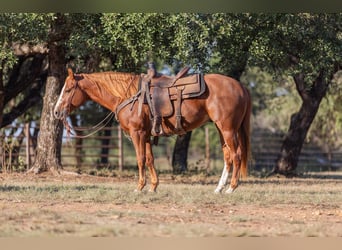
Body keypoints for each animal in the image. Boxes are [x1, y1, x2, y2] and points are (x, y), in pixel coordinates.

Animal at [54, 68, 251, 193]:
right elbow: (149, 159)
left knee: (236, 155)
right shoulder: (147, 135)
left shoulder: (137, 133)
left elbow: (140, 159)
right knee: (228, 156)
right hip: (221, 129)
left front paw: (139, 187)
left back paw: (231, 188)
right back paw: (219, 188)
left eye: (68, 89)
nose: (56, 112)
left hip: (228, 129)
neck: (128, 96)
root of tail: (240, 86)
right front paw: (153, 186)